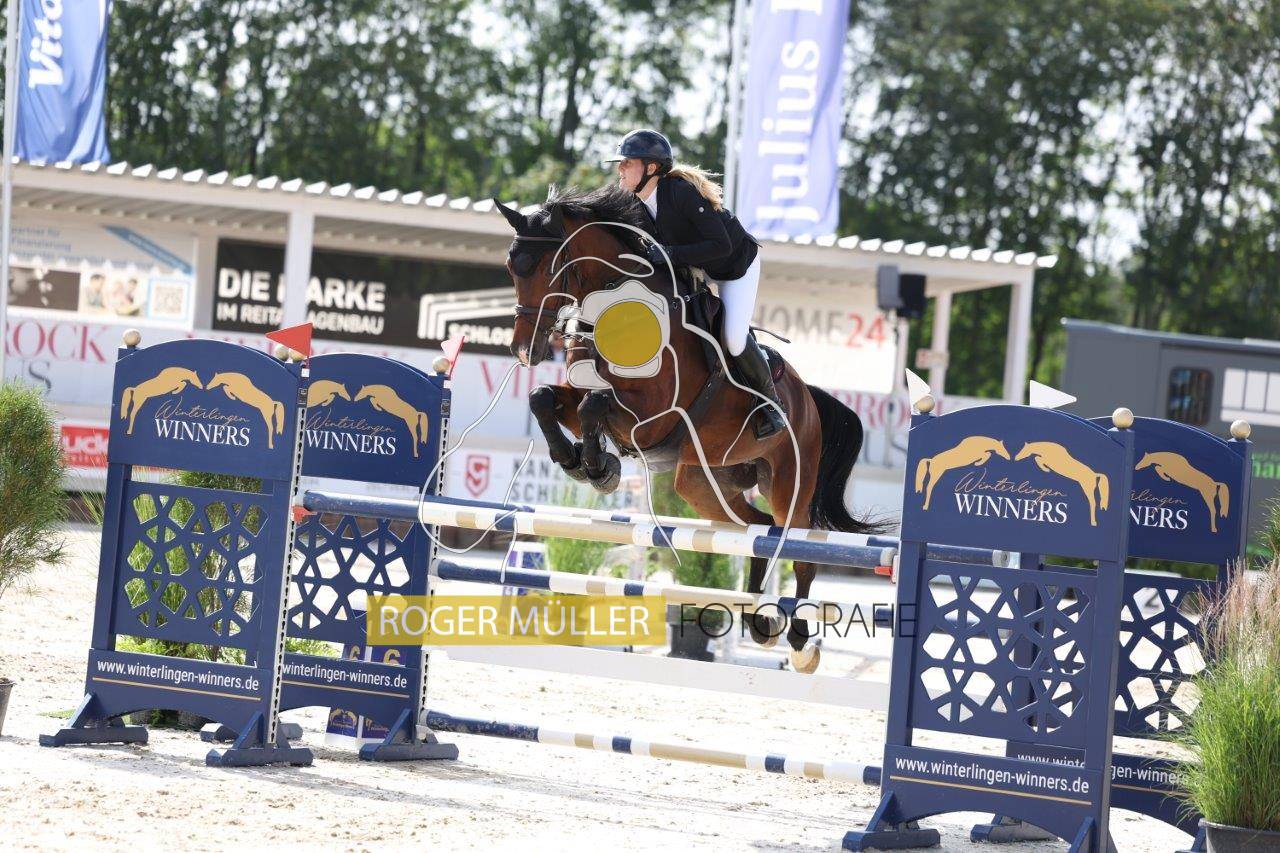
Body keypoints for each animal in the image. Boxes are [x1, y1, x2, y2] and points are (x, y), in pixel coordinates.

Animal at [493, 184, 881, 673]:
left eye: (549, 267)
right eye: (511, 266)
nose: (524, 349)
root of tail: (808, 398)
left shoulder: (653, 416)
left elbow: (597, 404)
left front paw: (598, 466)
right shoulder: (585, 395)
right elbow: (545, 398)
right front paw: (579, 462)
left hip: (789, 481)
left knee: (798, 548)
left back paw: (798, 642)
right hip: (703, 483)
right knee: (754, 532)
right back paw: (758, 619)